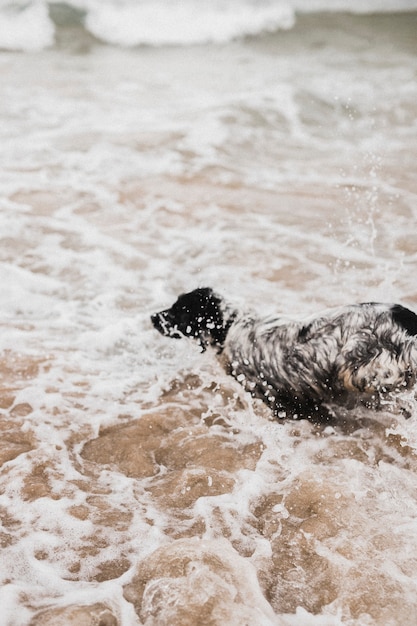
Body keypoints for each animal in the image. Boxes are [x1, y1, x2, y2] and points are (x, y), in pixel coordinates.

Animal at [151, 288, 416, 420]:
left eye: (178, 310)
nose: (152, 316)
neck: (229, 326)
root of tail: (406, 319)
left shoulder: (267, 392)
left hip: (358, 371)